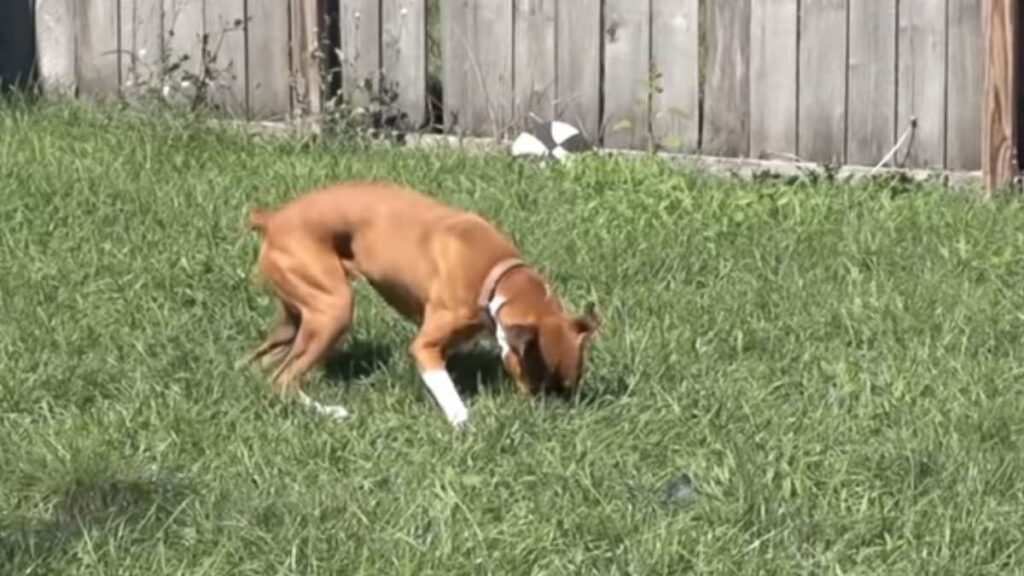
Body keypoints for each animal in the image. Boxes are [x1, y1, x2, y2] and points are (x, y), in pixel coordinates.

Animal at [243, 180, 598, 426]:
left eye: (569, 385)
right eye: (538, 382)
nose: (555, 410)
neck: (496, 275)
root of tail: (273, 219)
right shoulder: (425, 347)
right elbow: (446, 389)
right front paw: (463, 423)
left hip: (299, 317)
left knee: (261, 364)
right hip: (334, 310)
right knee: (283, 379)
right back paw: (329, 411)